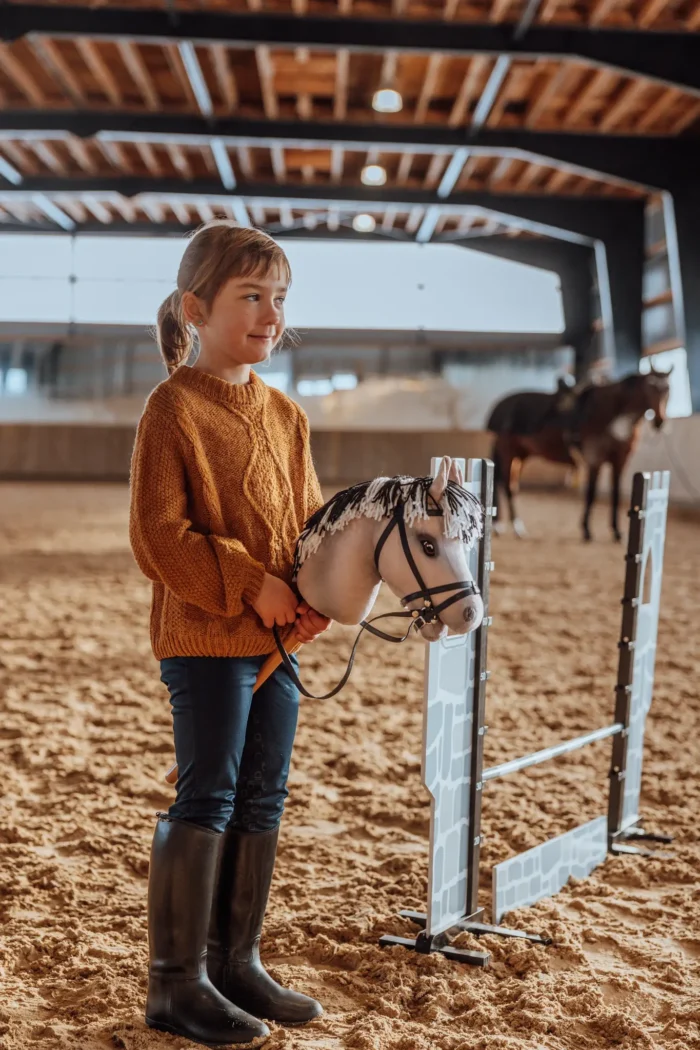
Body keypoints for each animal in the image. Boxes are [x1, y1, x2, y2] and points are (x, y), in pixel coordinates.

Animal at [487, 367, 671, 542]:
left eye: (668, 389)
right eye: (651, 387)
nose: (660, 421)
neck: (612, 414)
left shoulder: (620, 461)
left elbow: (616, 494)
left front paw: (617, 532)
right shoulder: (594, 459)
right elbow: (591, 493)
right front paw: (587, 530)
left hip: (521, 455)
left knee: (506, 484)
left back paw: (504, 526)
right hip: (508, 452)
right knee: (508, 487)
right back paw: (516, 528)